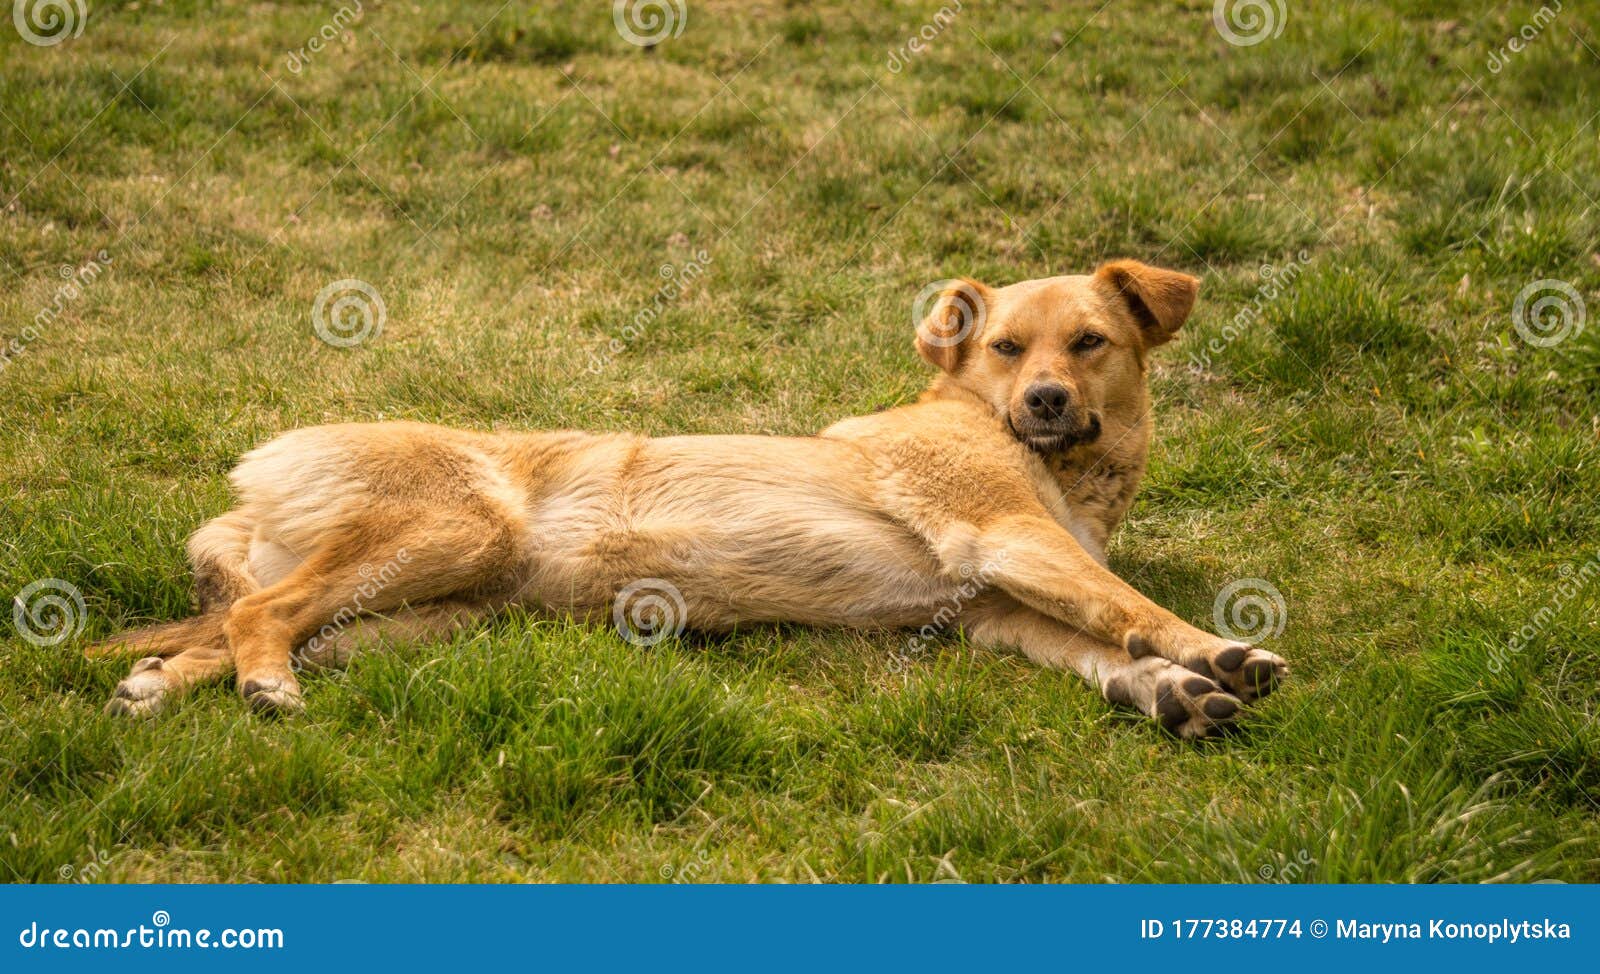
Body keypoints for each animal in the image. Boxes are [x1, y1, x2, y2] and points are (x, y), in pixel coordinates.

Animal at [87, 260, 1286, 735]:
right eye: (1005, 347)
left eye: (1089, 343)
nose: (1043, 400)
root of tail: (254, 475)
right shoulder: (1009, 538)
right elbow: (1130, 607)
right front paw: (1214, 651)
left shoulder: (995, 608)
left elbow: (1098, 647)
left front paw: (1169, 691)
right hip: (454, 533)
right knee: (258, 617)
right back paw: (267, 687)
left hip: (414, 617)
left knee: (236, 630)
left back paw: (164, 687)